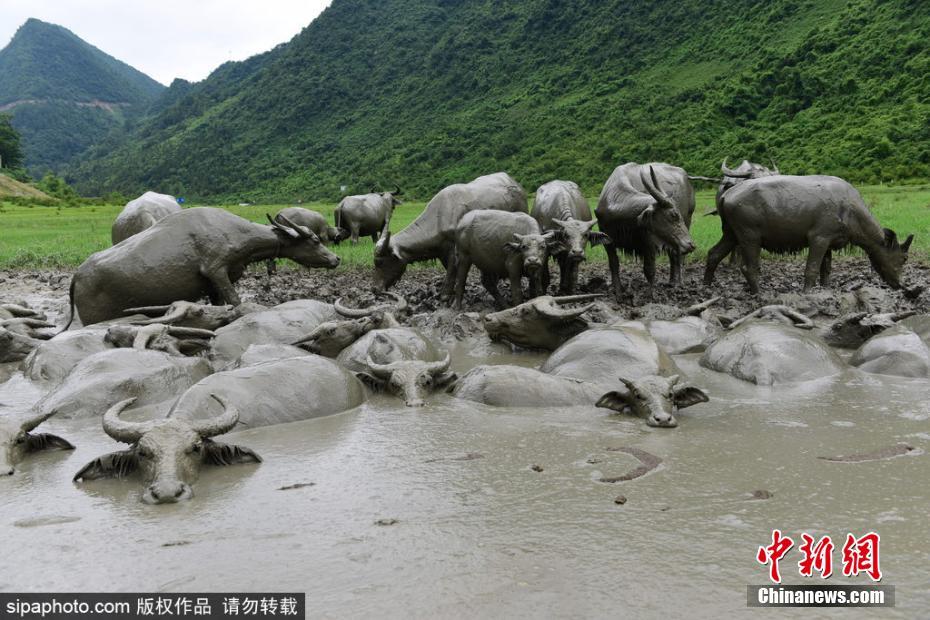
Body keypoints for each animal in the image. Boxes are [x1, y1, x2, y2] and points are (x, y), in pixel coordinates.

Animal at [67, 207, 338, 326]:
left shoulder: (212, 286)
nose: (336, 259)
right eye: (315, 240)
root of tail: (77, 275)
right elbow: (236, 301)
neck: (235, 232)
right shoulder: (216, 270)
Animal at [372, 171, 528, 294]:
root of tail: (516, 185)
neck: (438, 218)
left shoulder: (454, 250)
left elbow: (452, 271)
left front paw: (445, 295)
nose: (375, 289)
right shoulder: (442, 253)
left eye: (380, 262)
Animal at [596, 163, 696, 296]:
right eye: (673, 215)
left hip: (687, 222)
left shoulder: (649, 243)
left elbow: (650, 269)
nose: (691, 245)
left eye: (677, 214)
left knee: (677, 257)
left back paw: (678, 284)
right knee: (673, 255)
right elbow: (614, 264)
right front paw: (617, 290)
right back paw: (671, 282)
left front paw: (651, 294)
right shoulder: (607, 240)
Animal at [704, 173, 912, 292]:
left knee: (713, 254)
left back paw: (706, 286)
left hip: (731, 234)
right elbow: (811, 269)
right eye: (903, 259)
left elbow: (825, 269)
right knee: (749, 268)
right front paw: (807, 293)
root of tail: (727, 194)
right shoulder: (818, 238)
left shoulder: (829, 241)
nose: (900, 285)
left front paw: (826, 289)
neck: (850, 210)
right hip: (749, 236)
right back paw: (759, 293)